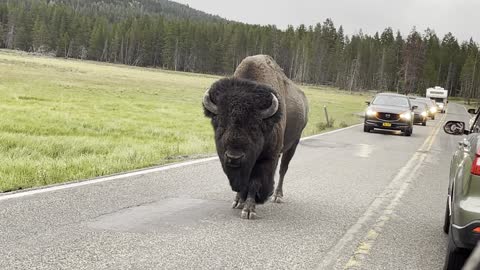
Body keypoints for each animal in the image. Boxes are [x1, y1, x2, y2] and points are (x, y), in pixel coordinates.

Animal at [202, 54, 308, 219]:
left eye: (253, 128)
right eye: (220, 124)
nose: (234, 157)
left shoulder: (265, 158)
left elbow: (255, 181)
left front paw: (249, 210)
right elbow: (243, 182)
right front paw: (238, 201)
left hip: (293, 144)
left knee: (283, 169)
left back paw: (277, 196)